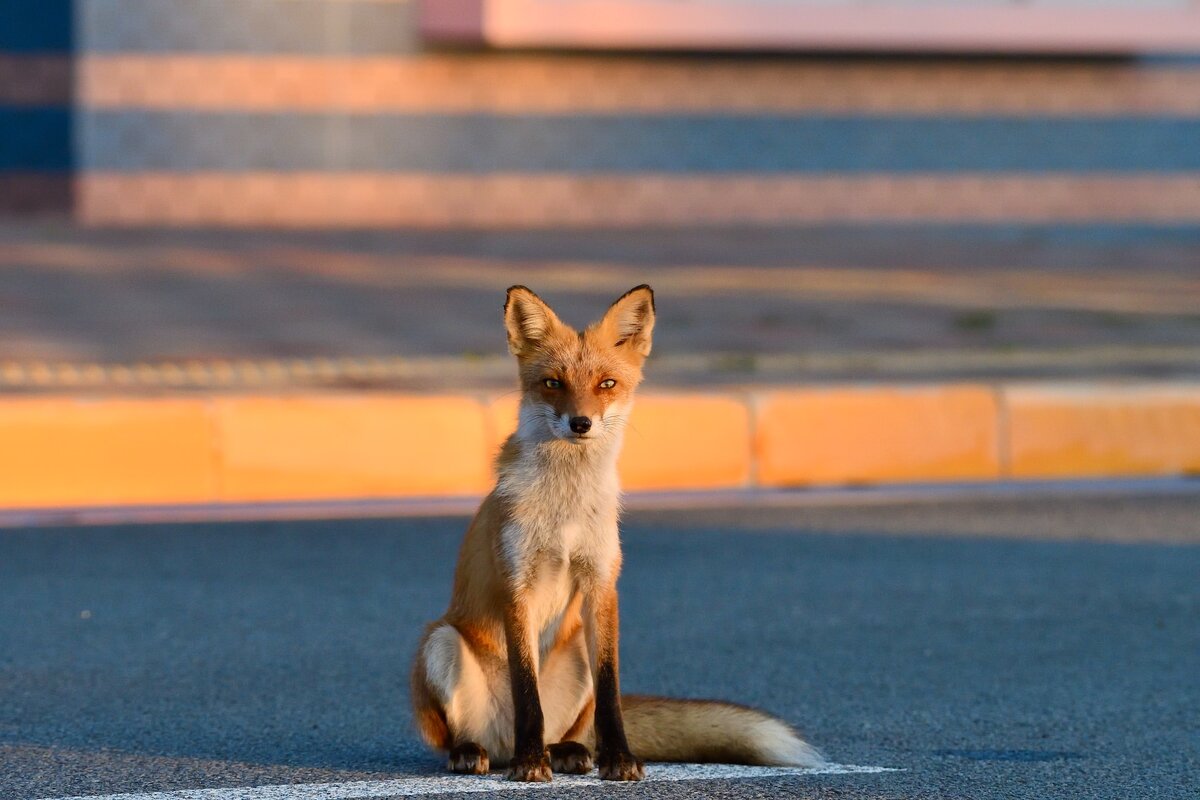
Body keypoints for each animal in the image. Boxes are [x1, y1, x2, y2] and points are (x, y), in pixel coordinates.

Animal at [412, 286, 825, 782]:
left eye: (606, 384)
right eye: (553, 383)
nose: (581, 423)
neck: (565, 512)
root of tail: (502, 744)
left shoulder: (601, 584)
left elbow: (611, 693)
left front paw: (619, 759)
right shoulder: (518, 584)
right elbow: (527, 691)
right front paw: (532, 765)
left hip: (575, 653)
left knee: (569, 729)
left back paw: (566, 750)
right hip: (440, 642)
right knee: (474, 735)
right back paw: (485, 751)